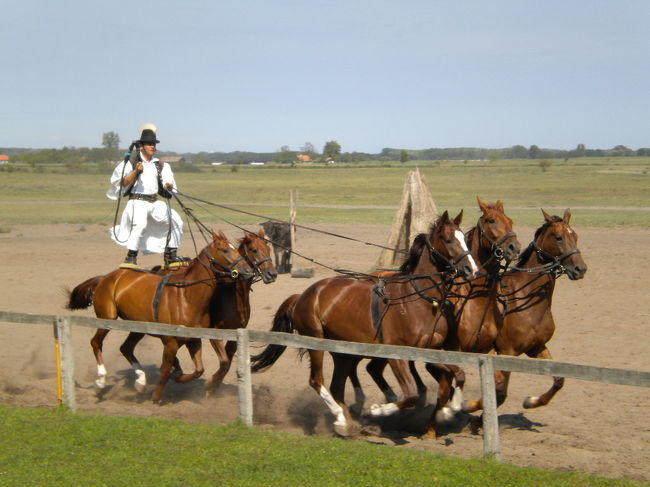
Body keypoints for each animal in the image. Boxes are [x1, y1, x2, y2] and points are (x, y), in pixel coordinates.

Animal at [66, 233, 253, 404]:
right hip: (107, 319)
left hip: (137, 328)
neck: (186, 296)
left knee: (126, 348)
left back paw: (140, 382)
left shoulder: (194, 339)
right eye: (224, 250)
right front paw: (156, 397)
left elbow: (198, 370)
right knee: (96, 343)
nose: (247, 271)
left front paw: (181, 378)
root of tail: (105, 278)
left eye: (236, 248)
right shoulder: (170, 342)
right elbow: (164, 371)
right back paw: (100, 381)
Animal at [248, 212, 476, 436]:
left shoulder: (429, 351)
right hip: (316, 343)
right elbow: (410, 395)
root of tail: (303, 295)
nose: (471, 269)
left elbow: (459, 374)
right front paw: (377, 410)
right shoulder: (396, 355)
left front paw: (451, 408)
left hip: (342, 352)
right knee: (317, 381)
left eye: (465, 238)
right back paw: (342, 418)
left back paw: (347, 422)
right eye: (448, 239)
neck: (416, 298)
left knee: (337, 386)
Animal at [460, 210, 588, 416]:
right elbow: (500, 391)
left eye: (575, 236)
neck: (523, 297)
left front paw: (533, 401)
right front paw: (472, 407)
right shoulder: (507, 352)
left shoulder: (537, 347)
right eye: (559, 237)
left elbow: (559, 379)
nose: (580, 269)